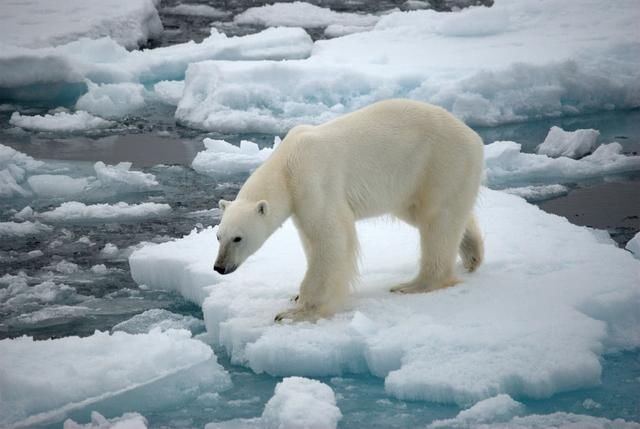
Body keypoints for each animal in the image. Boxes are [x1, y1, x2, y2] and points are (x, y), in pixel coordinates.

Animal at [212, 98, 482, 320]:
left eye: (238, 238)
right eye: (218, 236)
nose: (219, 267)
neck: (286, 166)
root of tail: (473, 137)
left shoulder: (314, 181)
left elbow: (331, 238)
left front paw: (297, 312)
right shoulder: (300, 199)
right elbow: (310, 240)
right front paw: (297, 297)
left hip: (441, 162)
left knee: (437, 220)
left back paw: (414, 284)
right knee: (428, 214)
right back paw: (472, 253)